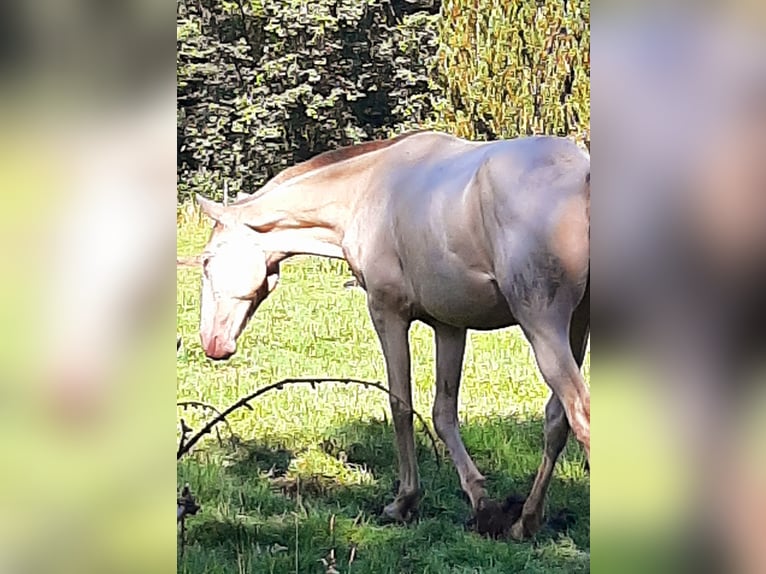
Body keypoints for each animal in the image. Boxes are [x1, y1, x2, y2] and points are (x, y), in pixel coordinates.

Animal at [195, 130, 592, 540]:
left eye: (207, 260)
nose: (212, 342)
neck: (365, 190)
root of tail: (582, 176)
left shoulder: (387, 313)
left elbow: (400, 405)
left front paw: (403, 502)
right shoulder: (449, 326)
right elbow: (443, 414)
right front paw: (480, 502)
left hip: (544, 327)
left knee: (581, 415)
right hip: (576, 330)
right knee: (557, 420)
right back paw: (525, 520)